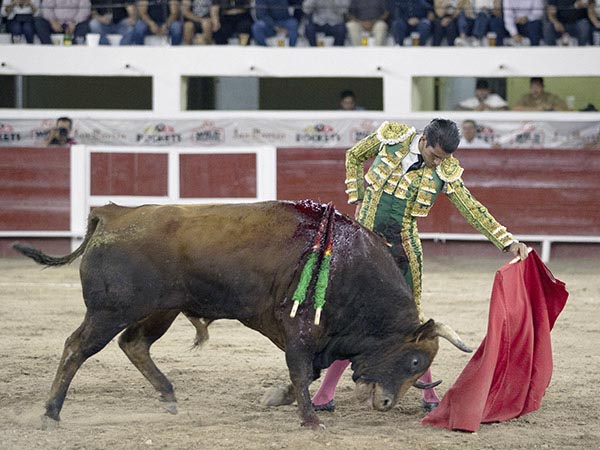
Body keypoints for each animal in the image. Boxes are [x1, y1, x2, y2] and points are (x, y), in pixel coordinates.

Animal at [14, 200, 472, 428]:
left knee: (135, 343)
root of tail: (113, 213)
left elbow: (308, 372)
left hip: (161, 310)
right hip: (110, 310)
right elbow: (302, 371)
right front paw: (310, 420)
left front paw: (282, 399)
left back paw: (168, 396)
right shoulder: (300, 330)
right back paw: (51, 413)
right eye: (414, 360)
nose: (388, 404)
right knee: (77, 347)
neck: (348, 264)